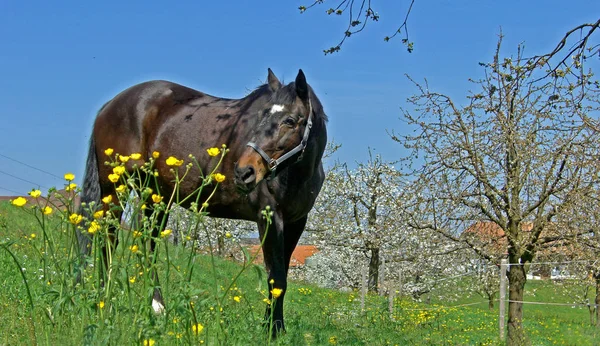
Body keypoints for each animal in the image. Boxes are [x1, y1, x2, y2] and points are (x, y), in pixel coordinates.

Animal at [78, 68, 328, 336]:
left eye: (290, 121)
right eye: (261, 116)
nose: (244, 172)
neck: (296, 174)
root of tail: (110, 105)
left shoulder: (295, 222)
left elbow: (282, 278)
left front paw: (275, 327)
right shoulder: (268, 216)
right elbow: (275, 276)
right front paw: (272, 331)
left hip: (155, 195)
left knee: (148, 244)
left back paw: (157, 306)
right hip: (115, 187)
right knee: (108, 238)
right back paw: (105, 300)